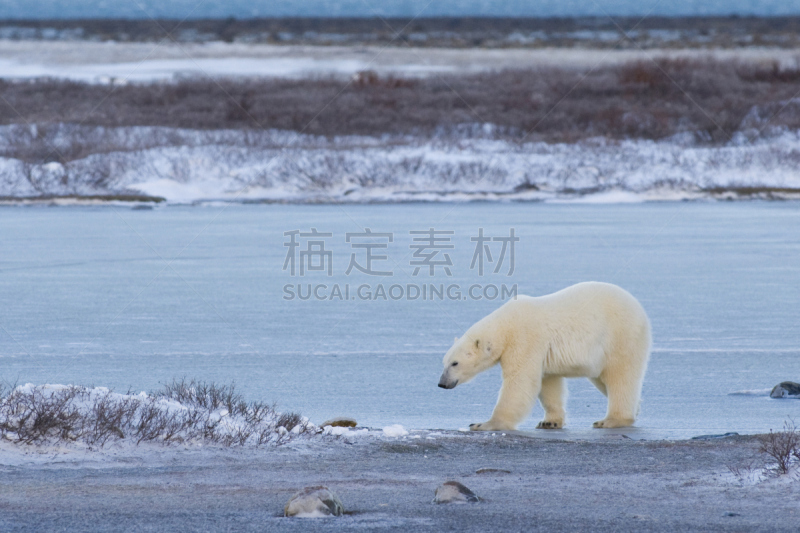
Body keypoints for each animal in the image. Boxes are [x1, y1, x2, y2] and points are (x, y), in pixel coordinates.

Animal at [438, 282, 648, 428]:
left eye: (455, 363)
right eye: (444, 362)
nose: (442, 383)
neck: (506, 325)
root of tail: (639, 307)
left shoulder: (524, 340)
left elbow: (520, 381)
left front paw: (484, 424)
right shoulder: (543, 353)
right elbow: (548, 383)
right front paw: (550, 422)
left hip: (619, 337)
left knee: (620, 377)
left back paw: (611, 420)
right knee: (603, 380)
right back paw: (636, 407)